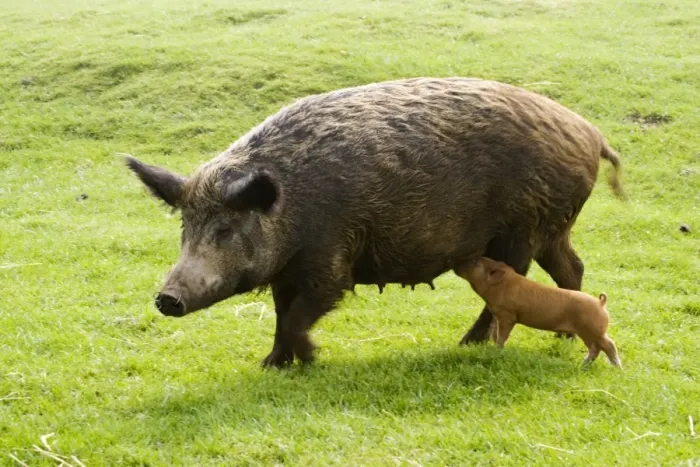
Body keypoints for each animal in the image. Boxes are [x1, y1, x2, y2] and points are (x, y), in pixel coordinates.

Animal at [125, 77, 626, 368]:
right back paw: (560, 338)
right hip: (554, 227)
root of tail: (592, 134)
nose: (166, 298)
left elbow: (303, 311)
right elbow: (282, 313)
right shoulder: (287, 271)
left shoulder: (331, 258)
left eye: (225, 230)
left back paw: (467, 345)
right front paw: (272, 364)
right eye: (185, 228)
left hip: (523, 228)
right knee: (572, 268)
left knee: (515, 282)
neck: (290, 209)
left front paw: (310, 360)